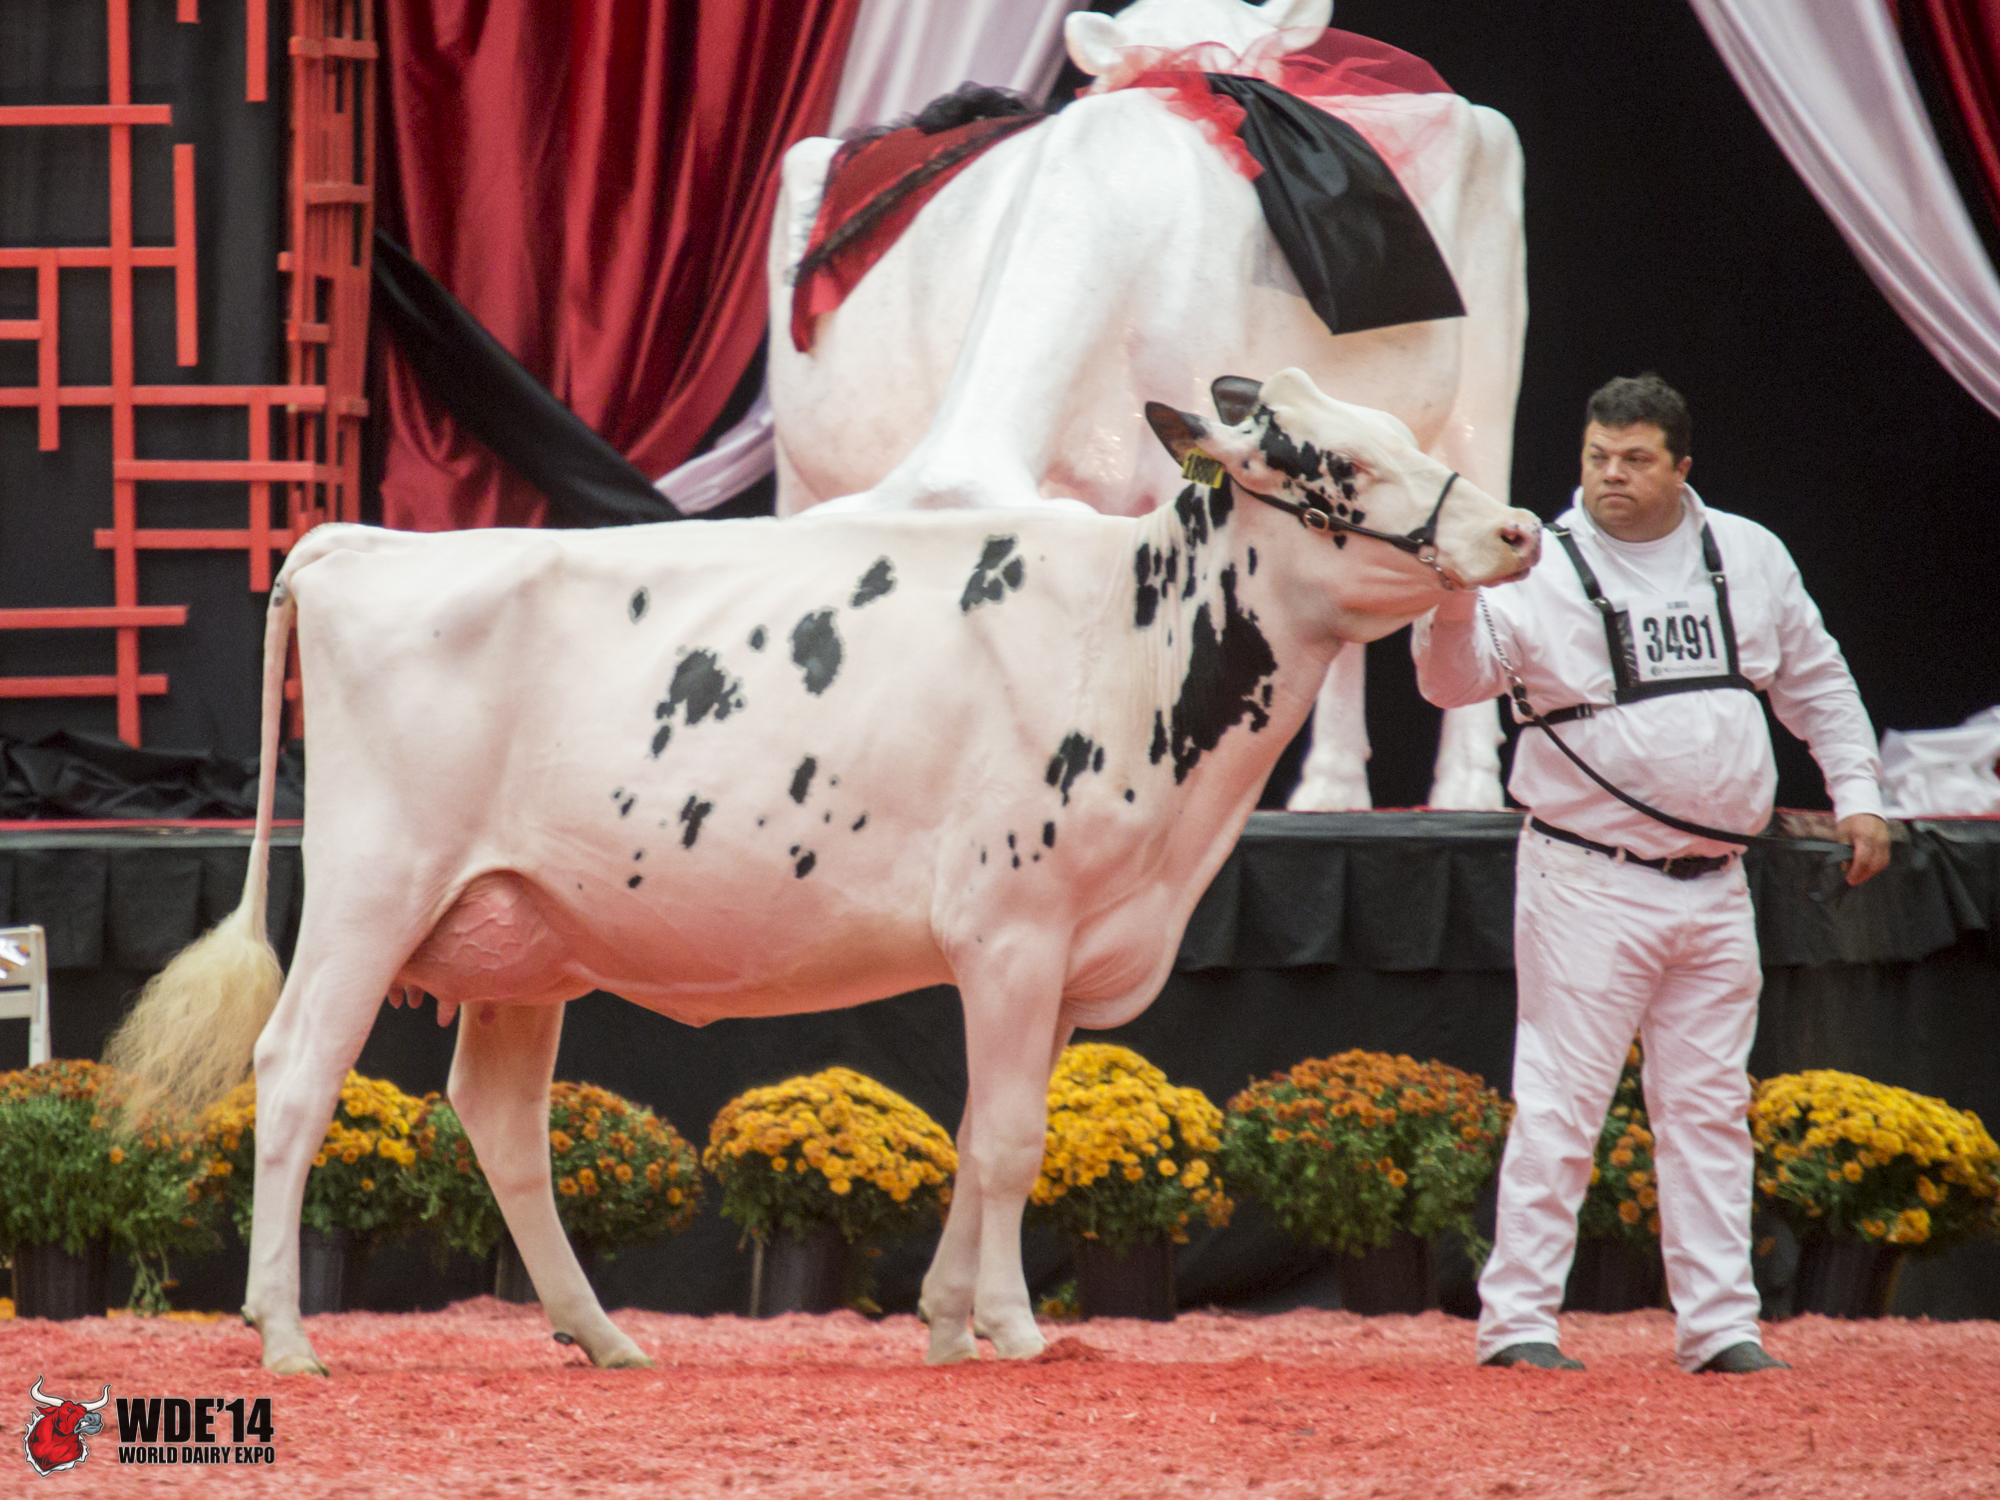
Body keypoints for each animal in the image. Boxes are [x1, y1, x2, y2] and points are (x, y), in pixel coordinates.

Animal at [107, 369, 1539, 1375]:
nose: (1520, 528)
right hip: (370, 888)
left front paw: (949, 1320)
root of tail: (361, 541)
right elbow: (1009, 1141)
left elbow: (988, 1130)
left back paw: (602, 1335)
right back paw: (286, 1337)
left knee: (501, 1118)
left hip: (521, 932)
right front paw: (1013, 1329)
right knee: (296, 1074)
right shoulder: (1010, 927)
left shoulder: (1062, 950)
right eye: (1343, 461)